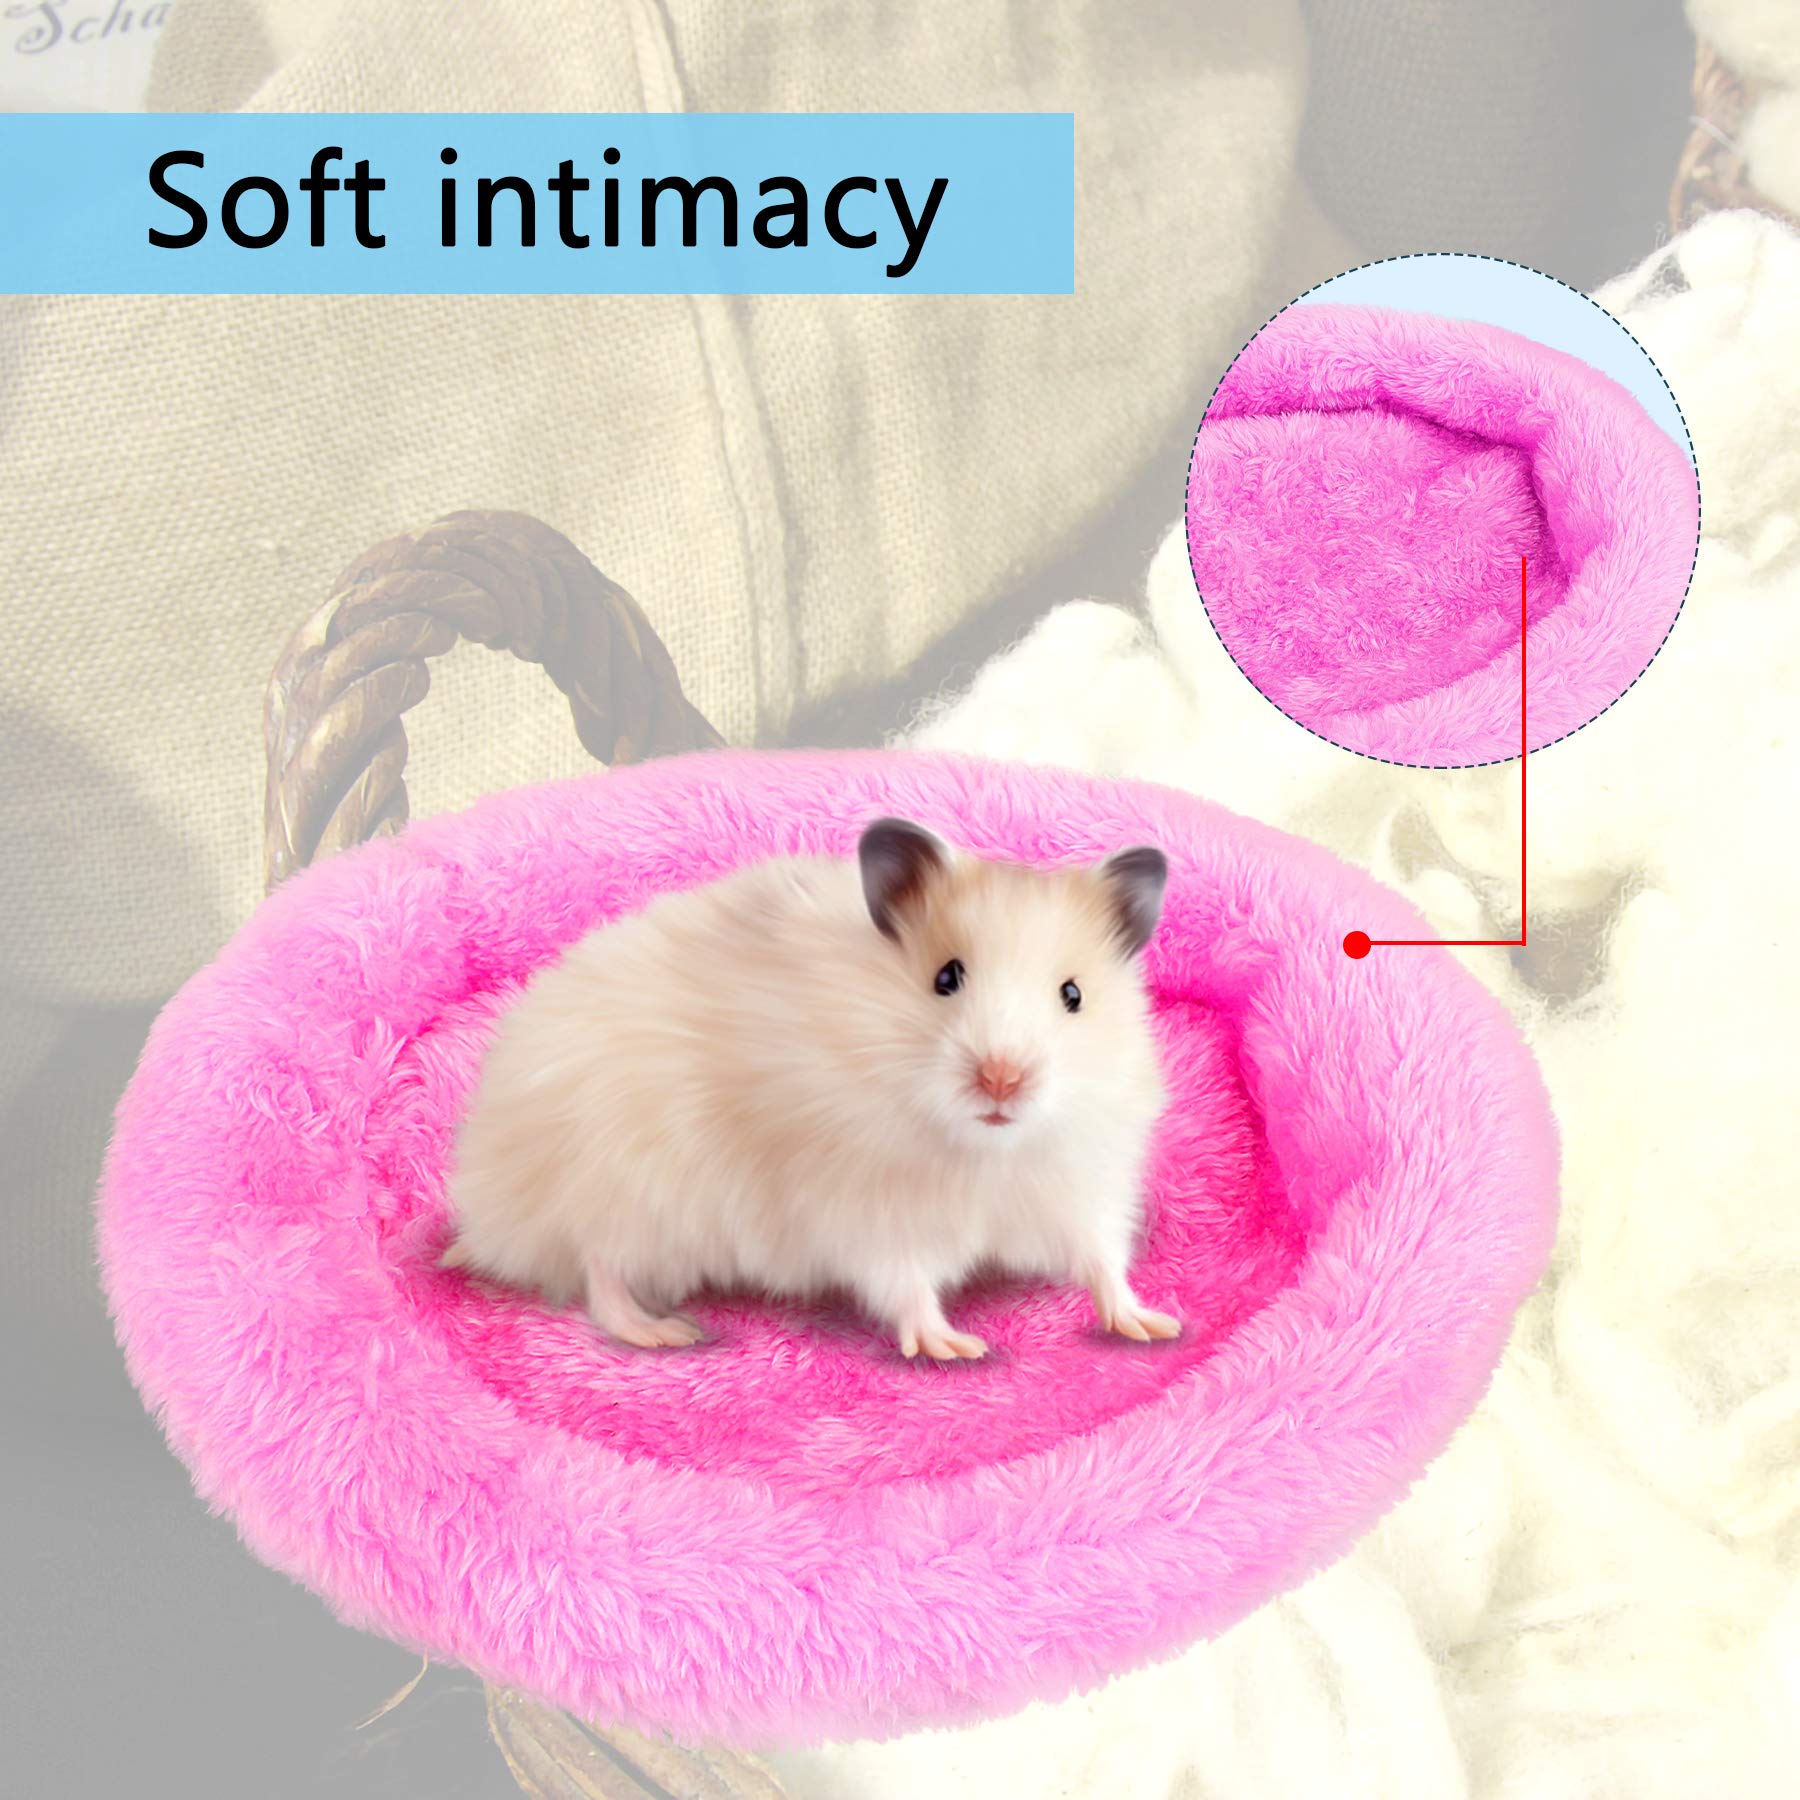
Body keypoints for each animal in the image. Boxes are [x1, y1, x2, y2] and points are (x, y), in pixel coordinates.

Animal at [440, 816, 1177, 1359]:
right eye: (946, 977)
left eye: (1073, 995)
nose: (1002, 1078)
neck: (983, 1151)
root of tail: (489, 1209)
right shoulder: (867, 1213)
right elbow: (906, 1283)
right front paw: (958, 1348)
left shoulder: (1079, 1188)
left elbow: (1102, 1261)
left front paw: (1153, 1324)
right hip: (625, 1191)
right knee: (600, 1274)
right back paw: (670, 1333)